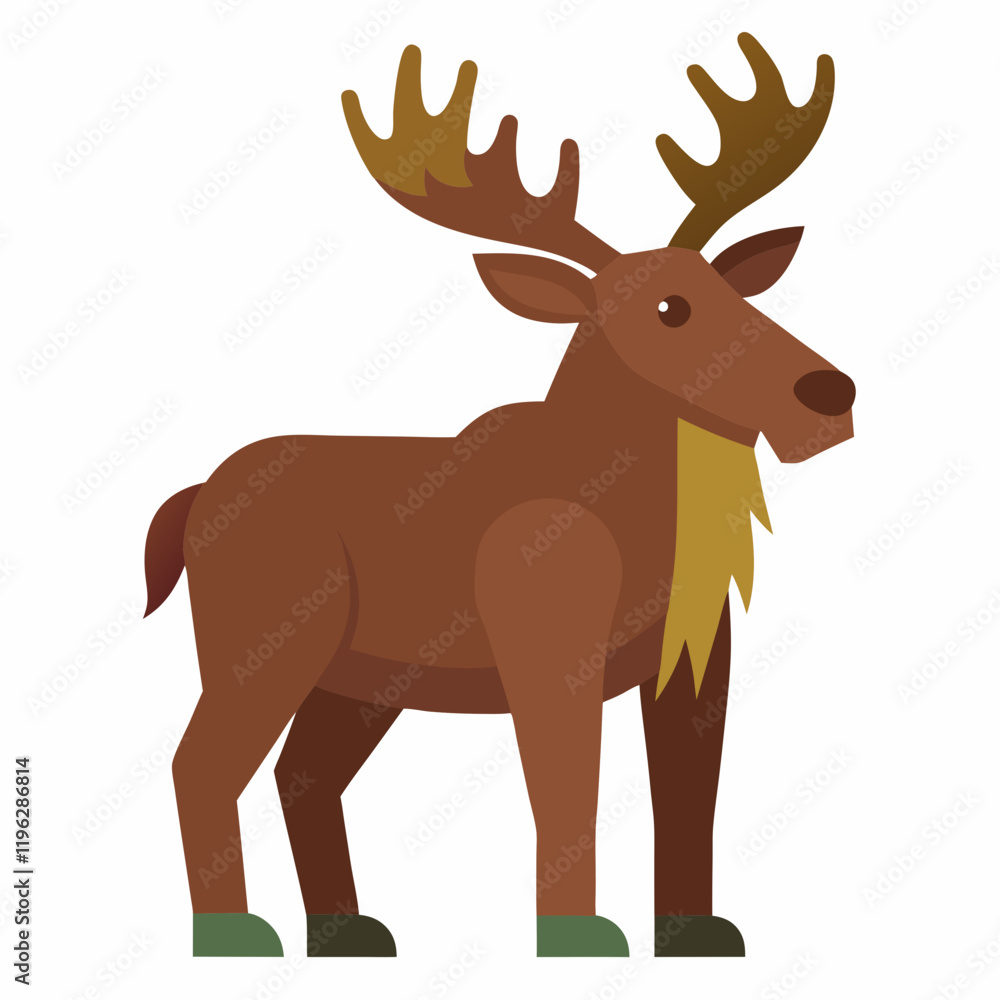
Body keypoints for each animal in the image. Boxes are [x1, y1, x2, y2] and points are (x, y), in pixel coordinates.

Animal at [143, 33, 854, 959]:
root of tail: (193, 500)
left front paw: (693, 932)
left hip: (361, 679)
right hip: (264, 647)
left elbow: (689, 800)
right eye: (671, 308)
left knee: (301, 772)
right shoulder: (548, 651)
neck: (643, 521)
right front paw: (578, 937)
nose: (829, 393)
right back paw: (233, 934)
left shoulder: (698, 658)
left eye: (737, 290)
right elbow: (566, 793)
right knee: (199, 766)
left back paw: (344, 930)